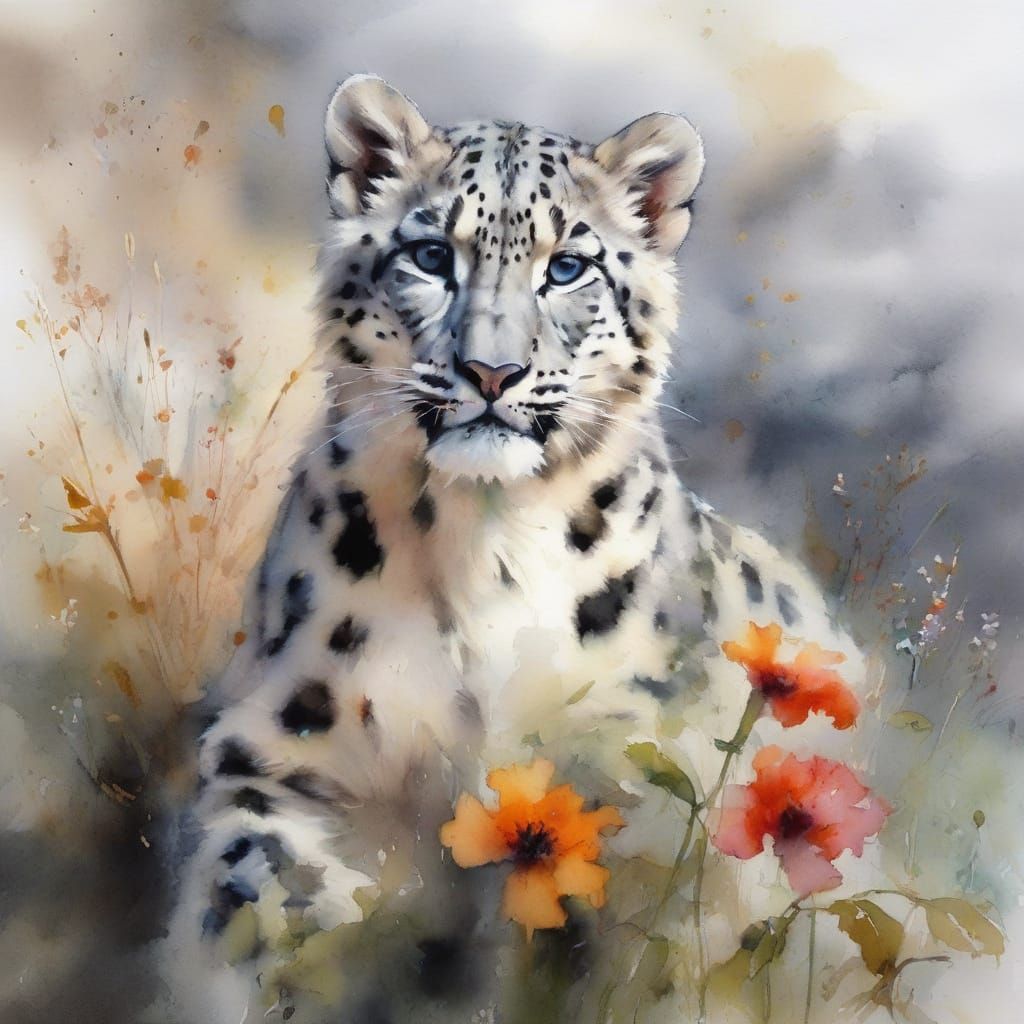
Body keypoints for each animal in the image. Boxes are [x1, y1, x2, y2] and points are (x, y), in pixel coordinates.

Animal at [163, 75, 864, 1024]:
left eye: (567, 267)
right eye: (430, 255)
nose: (491, 372)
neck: (482, 545)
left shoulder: (642, 767)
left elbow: (660, 929)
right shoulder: (277, 744)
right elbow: (259, 882)